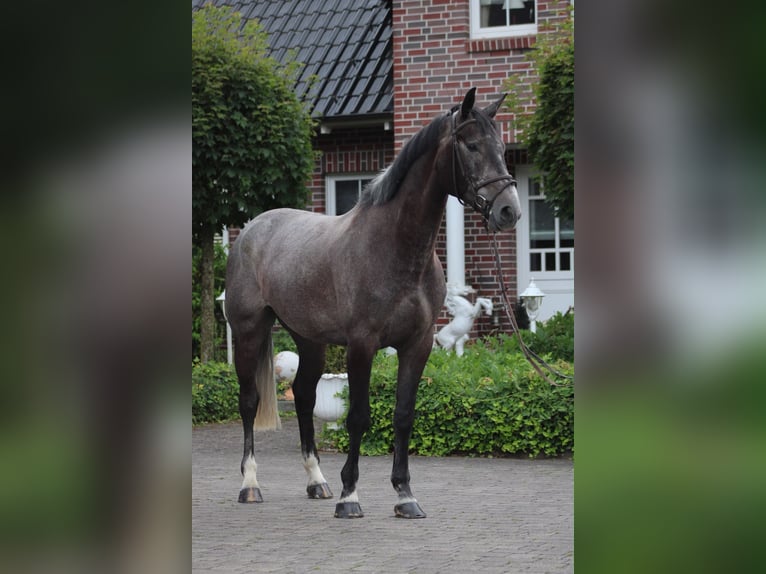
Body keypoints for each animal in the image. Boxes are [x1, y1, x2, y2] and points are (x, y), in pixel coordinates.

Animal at [225, 87, 521, 519]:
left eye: (501, 147)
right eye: (471, 145)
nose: (508, 210)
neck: (394, 248)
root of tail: (251, 230)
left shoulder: (417, 345)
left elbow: (403, 415)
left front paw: (405, 496)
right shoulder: (362, 346)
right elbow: (358, 417)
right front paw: (350, 497)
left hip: (309, 339)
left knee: (304, 396)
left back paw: (318, 481)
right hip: (250, 331)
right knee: (249, 402)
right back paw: (250, 484)